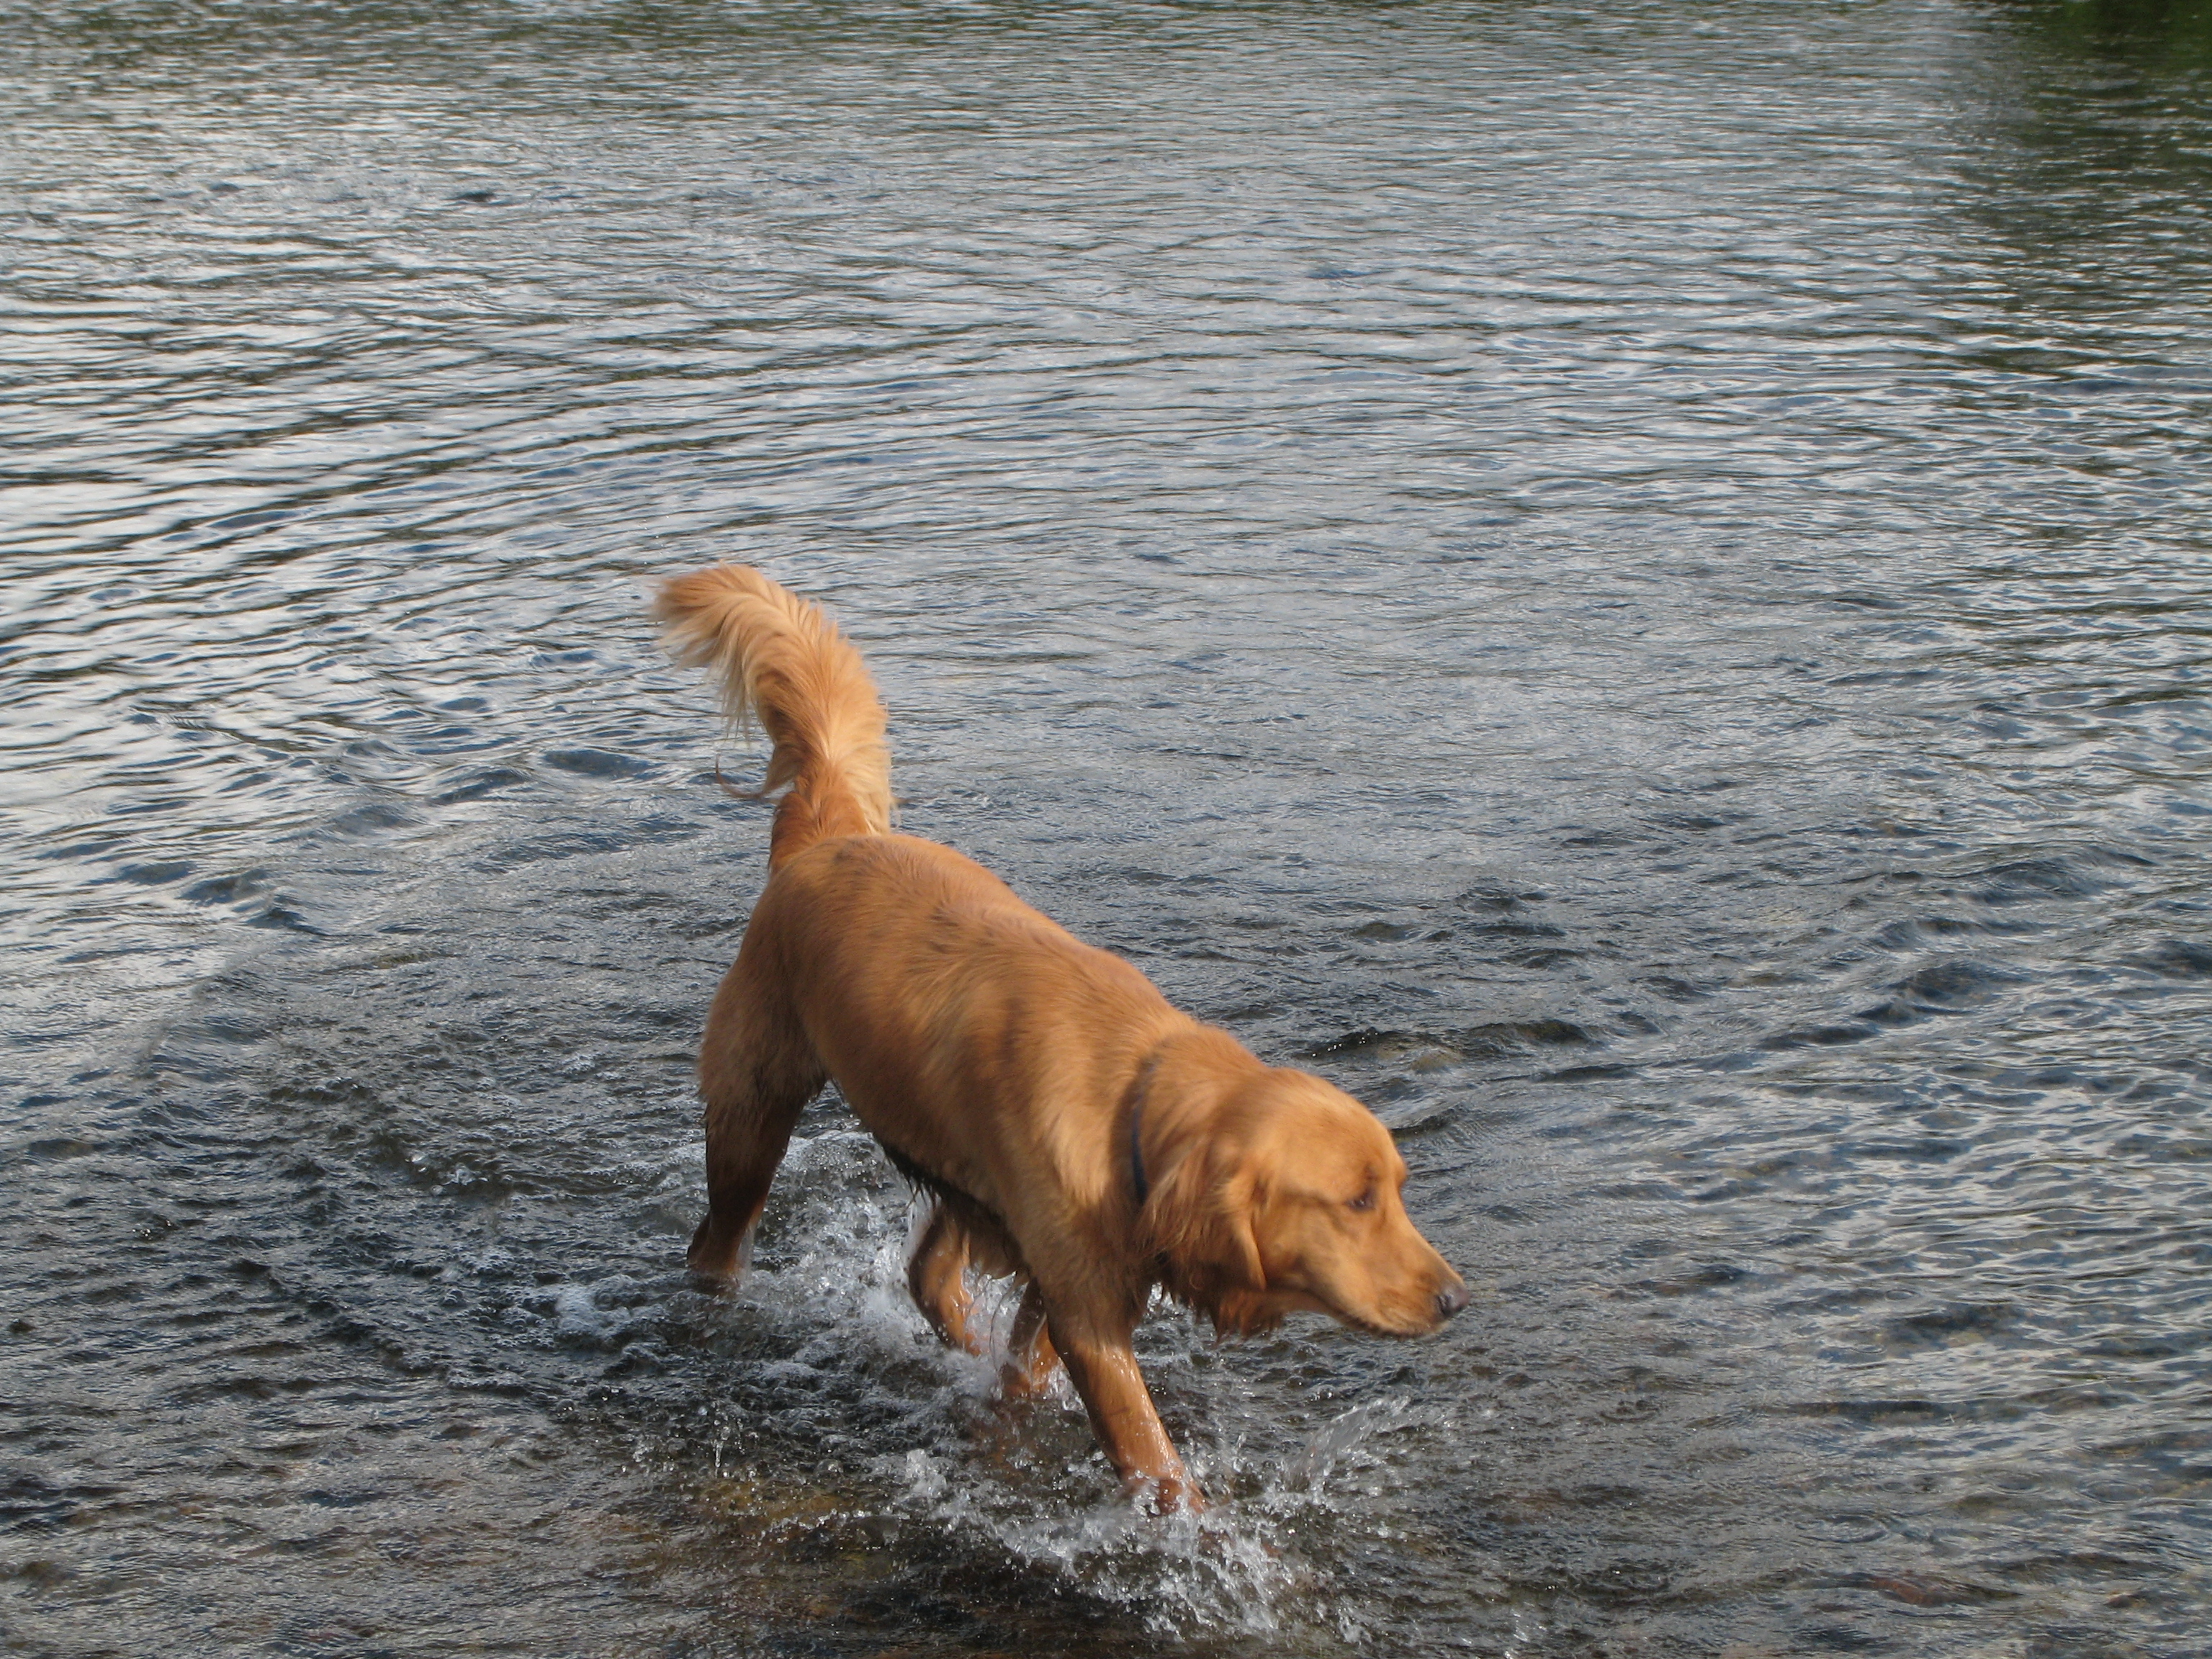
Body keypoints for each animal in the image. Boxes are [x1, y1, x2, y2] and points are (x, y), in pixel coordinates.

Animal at [646, 566, 1468, 1513]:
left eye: (1398, 1189)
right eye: (1358, 1202)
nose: (1456, 1300)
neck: (1132, 1105)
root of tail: (829, 836)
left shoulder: (1072, 1272)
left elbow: (1022, 1372)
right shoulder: (1086, 1309)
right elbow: (1151, 1455)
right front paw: (1198, 1527)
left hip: (957, 1169)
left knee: (928, 1276)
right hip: (752, 1118)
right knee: (719, 1243)